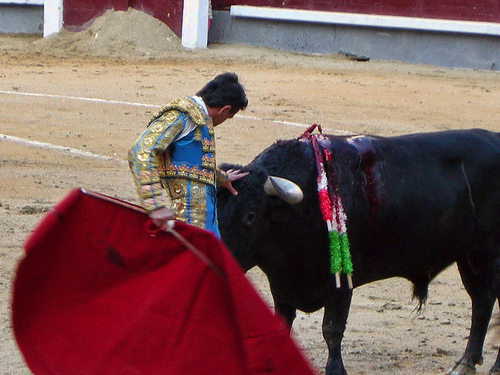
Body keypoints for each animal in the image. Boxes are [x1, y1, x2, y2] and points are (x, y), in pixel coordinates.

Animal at [217, 129, 500, 375]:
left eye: (250, 216)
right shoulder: (282, 283)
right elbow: (283, 323)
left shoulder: (341, 283)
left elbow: (332, 329)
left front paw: (335, 370)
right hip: (470, 256)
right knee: (482, 302)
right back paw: (470, 363)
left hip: (490, 256)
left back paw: (485, 365)